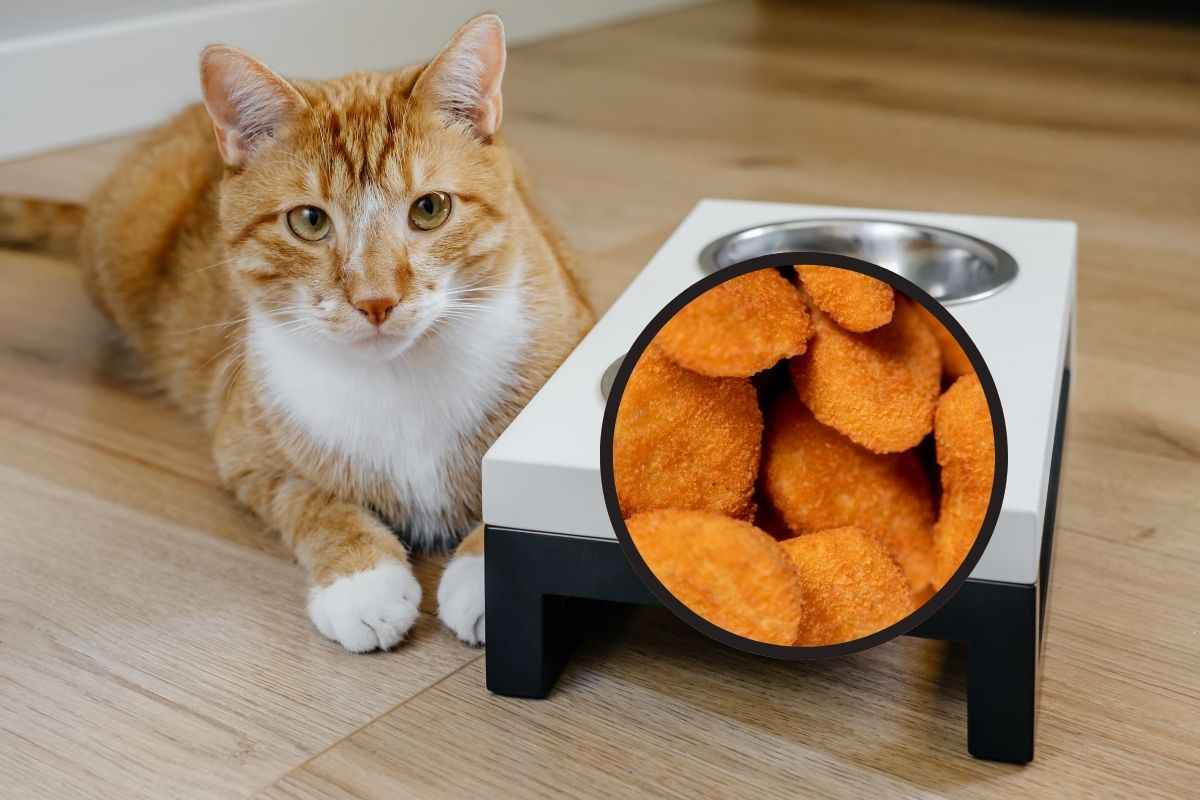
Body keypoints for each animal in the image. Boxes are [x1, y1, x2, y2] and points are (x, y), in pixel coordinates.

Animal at [0, 12, 595, 652]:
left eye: (430, 208)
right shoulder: (245, 457)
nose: (376, 300)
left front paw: (484, 579)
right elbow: (312, 502)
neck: (400, 381)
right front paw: (363, 583)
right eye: (309, 221)